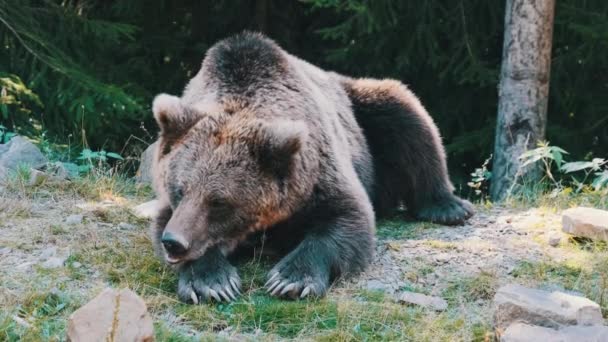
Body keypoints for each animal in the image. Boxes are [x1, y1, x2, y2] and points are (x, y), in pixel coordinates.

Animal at [150, 31, 472, 302]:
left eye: (219, 201)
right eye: (180, 189)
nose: (174, 243)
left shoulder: (321, 174)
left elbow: (347, 219)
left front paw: (290, 279)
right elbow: (164, 221)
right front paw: (211, 283)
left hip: (365, 110)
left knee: (406, 115)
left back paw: (449, 207)